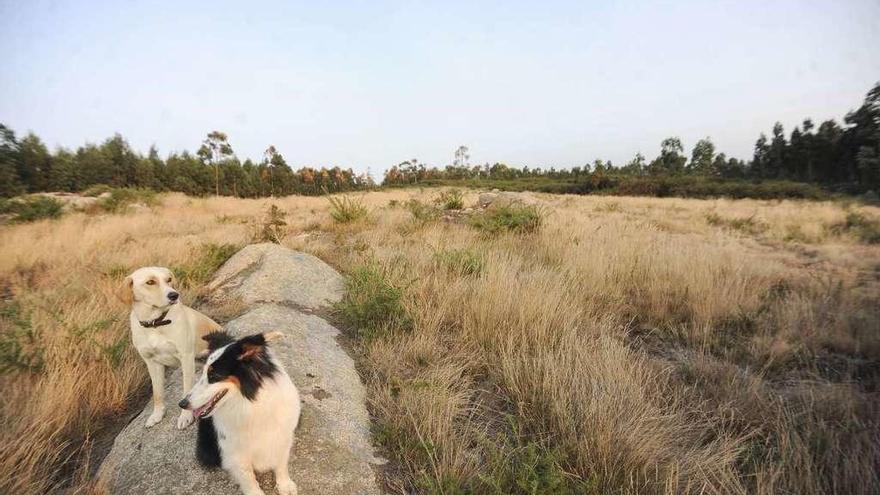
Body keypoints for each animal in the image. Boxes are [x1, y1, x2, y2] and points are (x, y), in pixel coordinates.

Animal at [180, 332, 302, 495]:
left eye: (214, 376)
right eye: (203, 373)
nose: (182, 404)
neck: (250, 405)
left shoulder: (283, 437)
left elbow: (281, 463)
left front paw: (285, 485)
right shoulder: (234, 451)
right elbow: (248, 478)